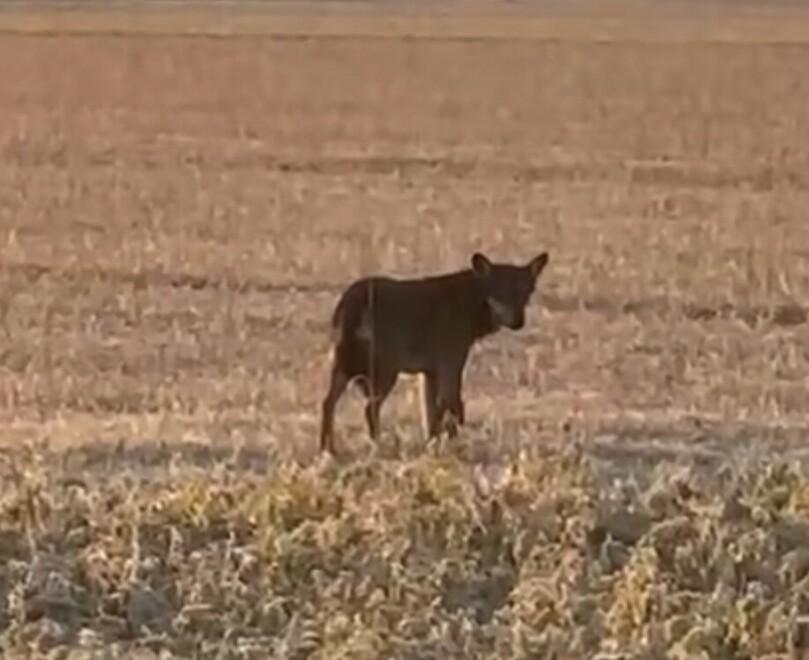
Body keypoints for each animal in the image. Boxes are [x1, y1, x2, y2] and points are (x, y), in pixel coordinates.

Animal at [319, 250, 549, 454]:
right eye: (501, 292)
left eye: (526, 294)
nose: (519, 322)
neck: (469, 300)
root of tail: (352, 300)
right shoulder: (451, 365)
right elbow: (452, 407)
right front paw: (451, 444)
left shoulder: (429, 373)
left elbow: (431, 414)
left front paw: (432, 444)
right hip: (385, 375)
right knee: (369, 410)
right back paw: (377, 446)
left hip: (344, 369)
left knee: (327, 404)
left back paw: (327, 450)